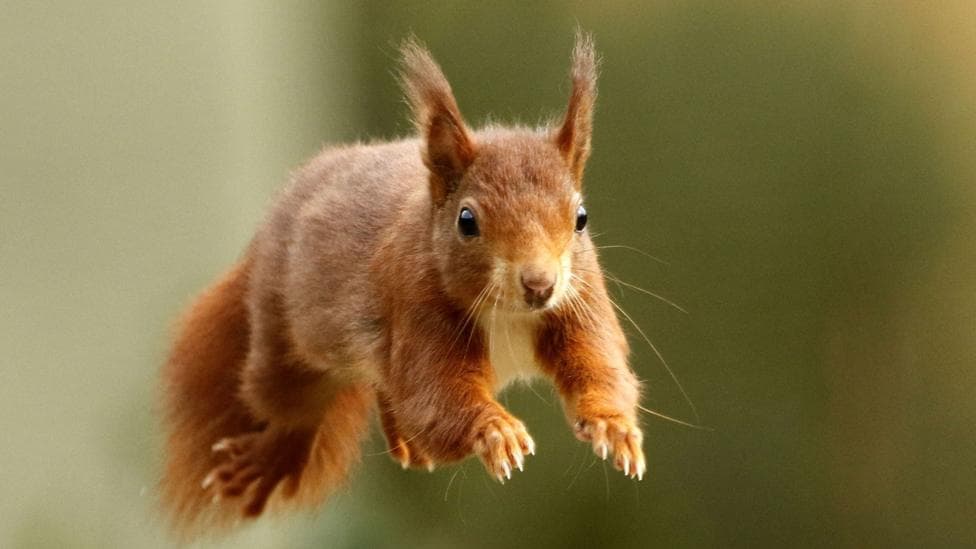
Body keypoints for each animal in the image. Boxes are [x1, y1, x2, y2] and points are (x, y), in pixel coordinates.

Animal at [159, 33, 644, 538]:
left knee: (386, 388)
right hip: (281, 340)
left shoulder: (580, 301)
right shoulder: (417, 304)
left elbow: (599, 366)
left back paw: (405, 444)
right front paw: (495, 431)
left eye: (581, 218)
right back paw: (274, 457)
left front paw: (614, 426)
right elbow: (435, 398)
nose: (539, 284)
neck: (509, 314)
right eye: (466, 222)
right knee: (297, 403)